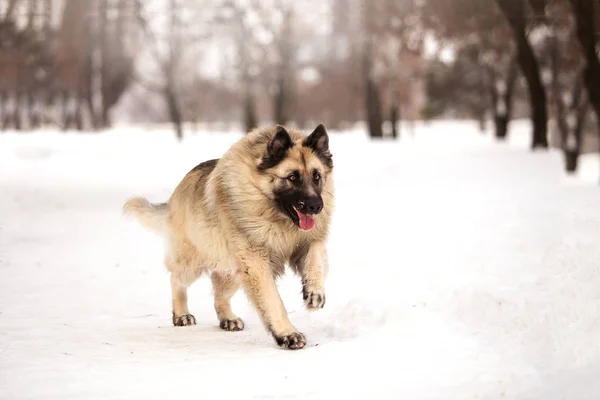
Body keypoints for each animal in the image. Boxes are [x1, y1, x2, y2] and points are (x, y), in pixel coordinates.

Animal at [123, 123, 336, 348]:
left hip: (232, 270)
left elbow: (315, 257)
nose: (316, 206)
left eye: (316, 176)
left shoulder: (308, 240)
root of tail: (176, 192)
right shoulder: (256, 264)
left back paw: (228, 319)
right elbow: (273, 300)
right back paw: (181, 314)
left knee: (219, 297)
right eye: (292, 177)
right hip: (193, 264)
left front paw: (314, 292)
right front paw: (287, 333)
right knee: (176, 280)